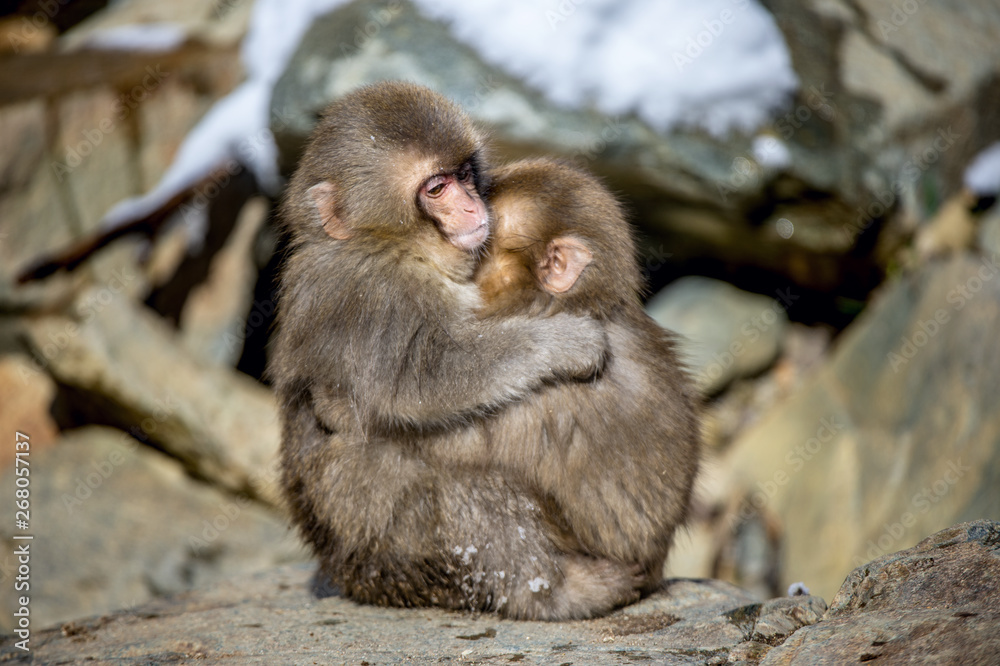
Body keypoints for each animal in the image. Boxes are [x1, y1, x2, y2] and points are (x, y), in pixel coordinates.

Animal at [271, 82, 644, 621]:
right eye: (436, 189)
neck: (390, 245)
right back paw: (557, 593)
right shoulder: (377, 299)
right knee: (473, 490)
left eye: (464, 175)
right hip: (386, 542)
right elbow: (427, 379)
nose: (473, 207)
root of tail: (348, 571)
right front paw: (570, 342)